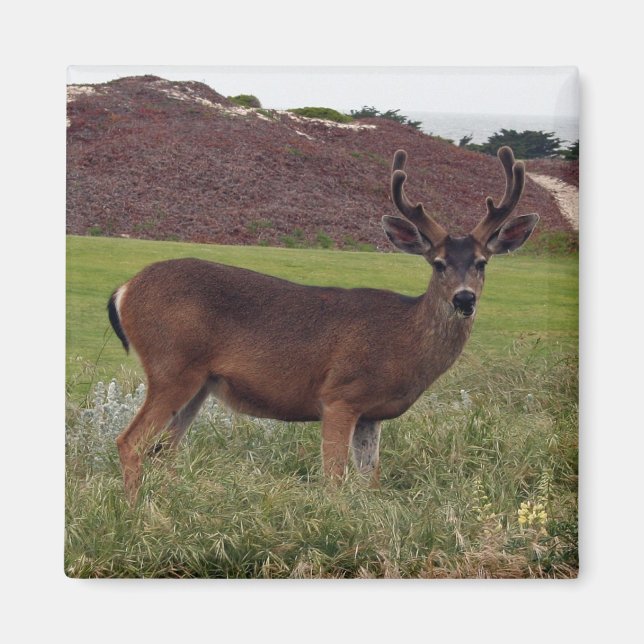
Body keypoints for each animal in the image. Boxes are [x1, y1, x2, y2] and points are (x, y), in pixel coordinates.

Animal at [108, 146, 538, 501]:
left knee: (164, 450)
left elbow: (371, 480)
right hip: (171, 366)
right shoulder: (339, 395)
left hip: (199, 384)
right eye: (438, 263)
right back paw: (136, 515)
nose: (464, 299)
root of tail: (124, 290)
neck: (402, 343)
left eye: (482, 262)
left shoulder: (371, 414)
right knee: (130, 442)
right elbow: (334, 478)